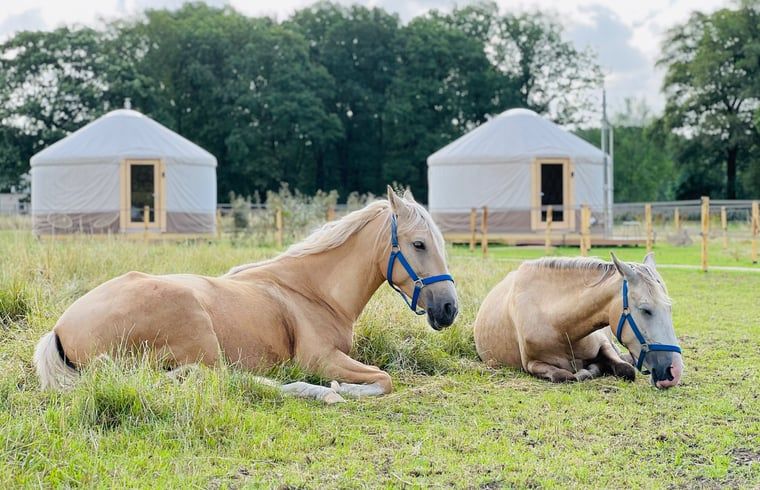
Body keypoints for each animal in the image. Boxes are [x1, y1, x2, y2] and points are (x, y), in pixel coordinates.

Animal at [34, 187, 458, 403]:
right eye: (419, 244)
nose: (450, 308)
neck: (311, 292)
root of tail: (60, 329)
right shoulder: (321, 358)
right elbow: (384, 380)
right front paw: (345, 389)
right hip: (200, 333)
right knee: (223, 380)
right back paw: (319, 392)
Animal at [473, 253, 683, 389]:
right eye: (645, 310)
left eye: (669, 308)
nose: (674, 372)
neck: (560, 327)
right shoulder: (532, 363)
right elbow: (565, 376)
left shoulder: (604, 344)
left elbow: (626, 369)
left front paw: (595, 368)